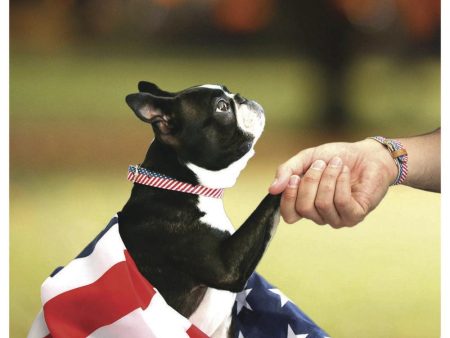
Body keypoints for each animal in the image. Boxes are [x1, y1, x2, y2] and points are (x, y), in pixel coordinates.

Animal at [119, 80, 282, 336]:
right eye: (222, 107)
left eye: (229, 93)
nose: (241, 97)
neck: (183, 185)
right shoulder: (228, 268)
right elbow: (268, 202)